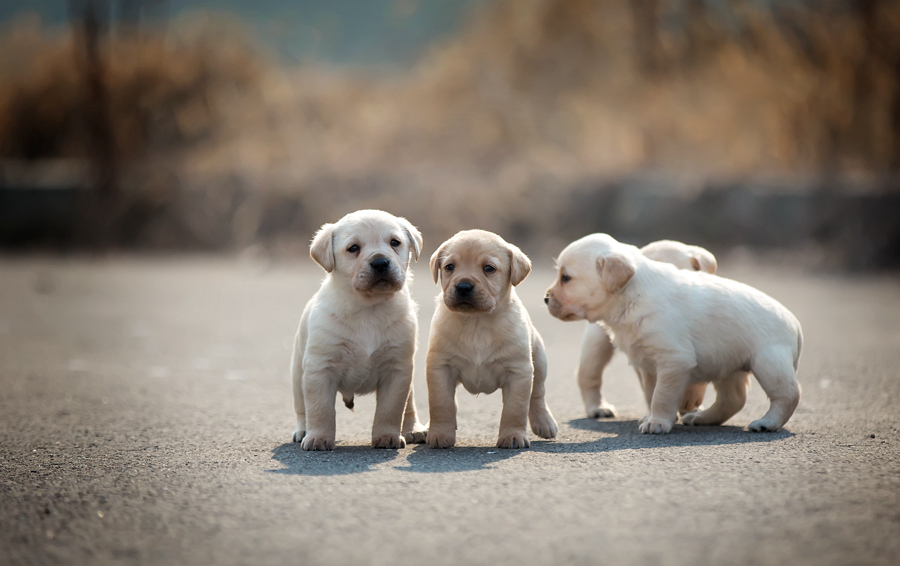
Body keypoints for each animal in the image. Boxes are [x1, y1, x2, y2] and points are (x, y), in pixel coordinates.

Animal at [290, 210, 428, 452]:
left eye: (395, 242)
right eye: (353, 248)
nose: (380, 262)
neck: (369, 309)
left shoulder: (397, 370)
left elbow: (391, 409)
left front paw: (387, 437)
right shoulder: (320, 369)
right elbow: (319, 409)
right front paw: (318, 438)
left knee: (408, 407)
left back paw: (414, 429)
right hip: (298, 374)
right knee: (302, 408)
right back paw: (304, 431)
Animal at [424, 232, 556, 452]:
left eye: (489, 268)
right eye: (449, 267)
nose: (463, 286)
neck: (477, 323)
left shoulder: (518, 372)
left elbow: (515, 408)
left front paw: (512, 436)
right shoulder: (440, 368)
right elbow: (441, 403)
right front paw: (440, 433)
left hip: (539, 360)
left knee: (538, 394)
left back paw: (544, 422)